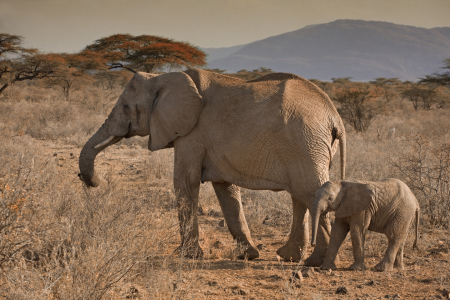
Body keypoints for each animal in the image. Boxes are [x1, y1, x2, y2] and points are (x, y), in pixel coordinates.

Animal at [77, 68, 346, 264]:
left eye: (125, 107)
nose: (92, 181)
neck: (163, 76)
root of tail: (335, 117)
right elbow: (225, 189)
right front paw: (248, 255)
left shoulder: (192, 133)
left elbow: (185, 181)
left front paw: (188, 256)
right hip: (307, 147)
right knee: (300, 195)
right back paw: (292, 258)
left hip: (305, 142)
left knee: (309, 193)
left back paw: (315, 262)